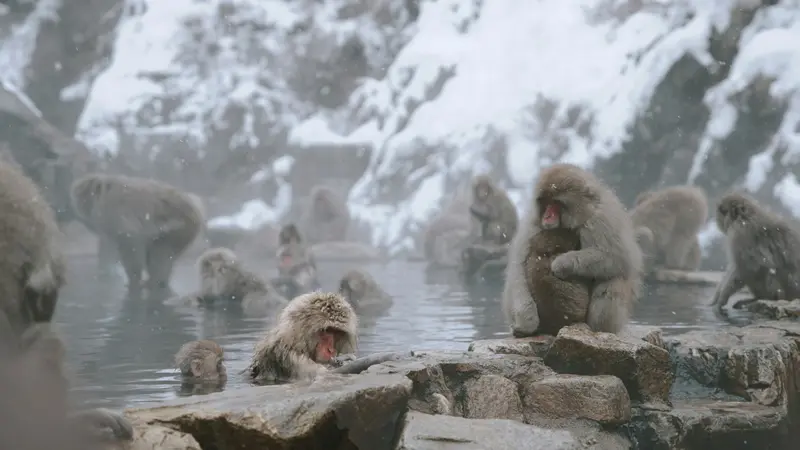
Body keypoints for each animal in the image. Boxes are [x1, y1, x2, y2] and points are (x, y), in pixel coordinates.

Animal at [70, 173, 204, 292]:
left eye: (82, 195)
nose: (80, 205)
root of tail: (196, 209)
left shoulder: (114, 211)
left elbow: (129, 239)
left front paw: (133, 278)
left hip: (178, 227)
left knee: (161, 253)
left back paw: (154, 283)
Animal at [502, 164, 643, 336]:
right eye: (545, 201)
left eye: (556, 202)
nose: (547, 216)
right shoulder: (532, 224)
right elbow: (517, 268)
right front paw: (527, 320)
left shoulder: (602, 219)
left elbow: (619, 258)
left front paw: (562, 263)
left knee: (613, 279)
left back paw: (599, 330)